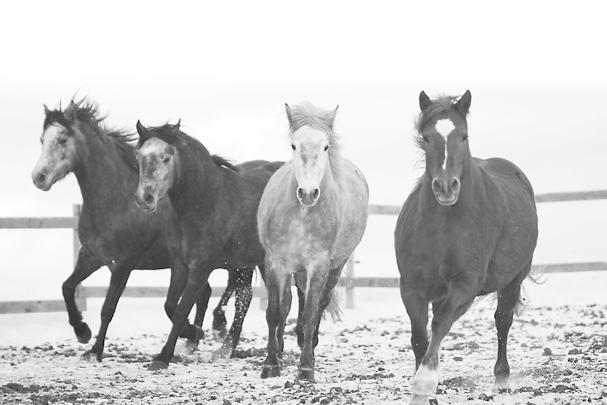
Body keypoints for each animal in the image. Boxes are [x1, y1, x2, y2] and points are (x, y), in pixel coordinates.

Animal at [31, 100, 233, 360]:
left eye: (63, 139)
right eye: (42, 140)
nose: (38, 177)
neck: (117, 200)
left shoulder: (124, 263)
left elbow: (108, 308)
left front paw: (95, 350)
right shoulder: (92, 256)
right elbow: (67, 287)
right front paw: (82, 332)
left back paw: (209, 331)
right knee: (204, 293)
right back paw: (192, 340)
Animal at [134, 120, 284, 370]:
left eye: (166, 157)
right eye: (139, 157)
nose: (144, 198)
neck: (206, 201)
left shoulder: (201, 268)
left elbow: (182, 309)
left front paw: (163, 357)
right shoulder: (180, 265)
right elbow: (170, 306)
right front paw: (193, 332)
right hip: (253, 262)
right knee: (248, 298)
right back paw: (230, 349)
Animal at [258, 102, 370, 380]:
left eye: (325, 146)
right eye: (293, 145)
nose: (308, 193)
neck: (302, 214)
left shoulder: (318, 265)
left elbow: (310, 313)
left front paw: (306, 368)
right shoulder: (275, 262)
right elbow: (275, 311)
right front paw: (271, 364)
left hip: (335, 267)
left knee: (319, 303)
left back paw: (308, 346)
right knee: (291, 301)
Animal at [394, 90, 540, 402]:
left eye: (464, 136)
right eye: (426, 138)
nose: (446, 187)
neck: (441, 227)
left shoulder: (465, 286)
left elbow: (440, 323)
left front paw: (424, 383)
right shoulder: (411, 286)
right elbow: (419, 336)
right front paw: (423, 393)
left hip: (514, 278)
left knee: (502, 320)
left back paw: (501, 380)